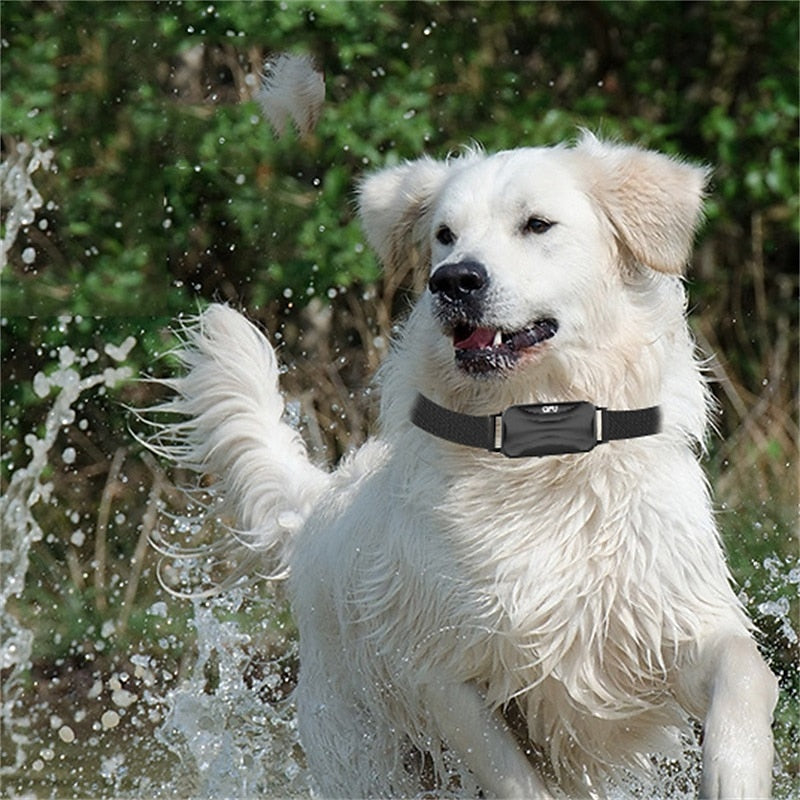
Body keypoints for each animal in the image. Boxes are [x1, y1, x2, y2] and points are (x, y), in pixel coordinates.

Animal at [153, 134, 780, 796]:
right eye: (445, 235)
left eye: (537, 224)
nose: (453, 280)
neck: (541, 452)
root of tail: (318, 506)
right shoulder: (444, 675)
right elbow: (513, 777)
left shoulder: (672, 620)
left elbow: (746, 672)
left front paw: (733, 773)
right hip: (367, 754)